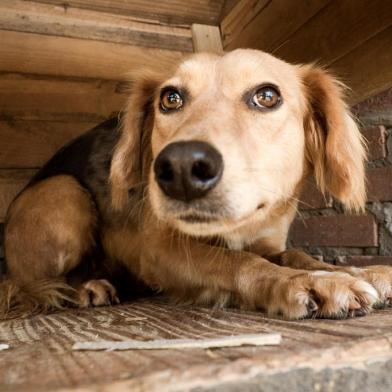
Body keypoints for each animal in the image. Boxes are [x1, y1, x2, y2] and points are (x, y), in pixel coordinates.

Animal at [0, 49, 392, 320]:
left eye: (267, 96)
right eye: (170, 98)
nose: (182, 167)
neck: (243, 227)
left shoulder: (268, 241)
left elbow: (296, 254)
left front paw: (356, 271)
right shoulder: (160, 250)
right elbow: (237, 262)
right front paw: (308, 282)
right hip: (64, 192)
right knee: (25, 286)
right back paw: (82, 290)